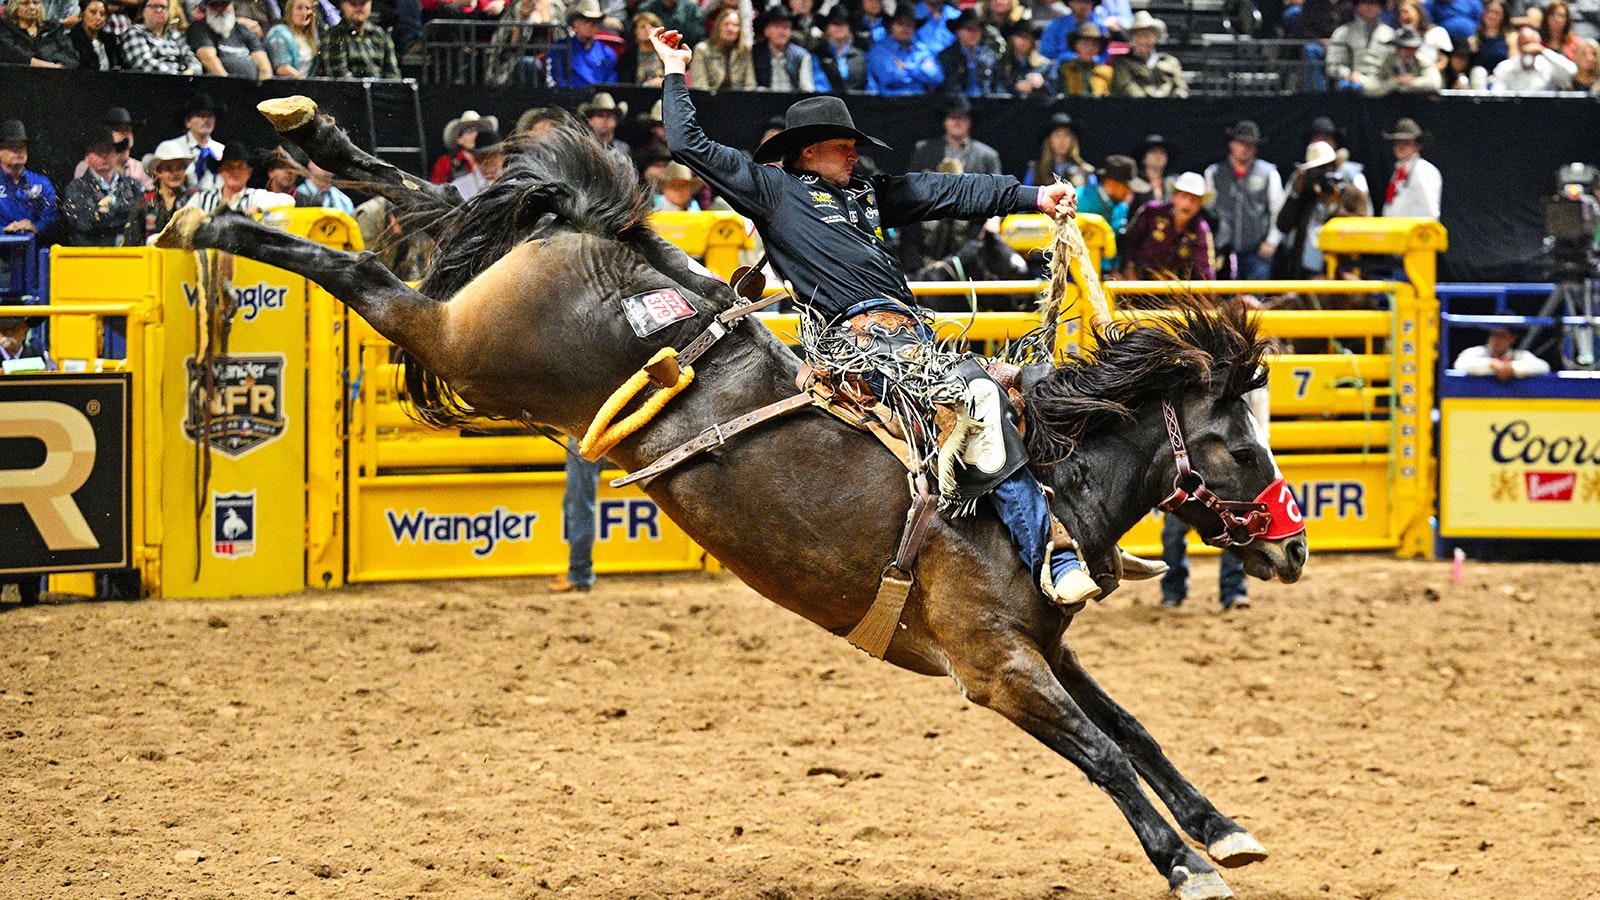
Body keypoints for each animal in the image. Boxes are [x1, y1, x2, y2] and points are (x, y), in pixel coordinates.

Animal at [159, 94, 1312, 890]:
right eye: (1238, 451)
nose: (1293, 549)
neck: (1033, 492)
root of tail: (613, 253)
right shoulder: (994, 666)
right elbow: (1100, 752)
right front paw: (1188, 867)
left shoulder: (1046, 648)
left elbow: (1134, 731)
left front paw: (1226, 830)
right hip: (468, 345)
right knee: (367, 274)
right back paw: (208, 225)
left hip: (492, 293)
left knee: (436, 200)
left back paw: (301, 132)